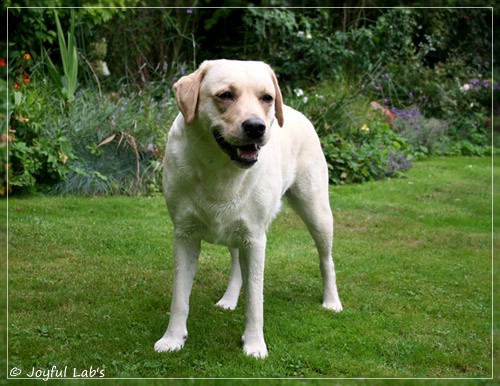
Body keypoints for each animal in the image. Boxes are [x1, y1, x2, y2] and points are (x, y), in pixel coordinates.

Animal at [155, 60, 344, 358]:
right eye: (225, 95)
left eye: (266, 98)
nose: (256, 127)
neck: (220, 170)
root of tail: (297, 112)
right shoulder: (184, 235)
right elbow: (179, 297)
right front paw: (173, 338)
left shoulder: (255, 239)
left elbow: (255, 299)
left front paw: (254, 344)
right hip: (236, 229)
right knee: (236, 264)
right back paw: (229, 299)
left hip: (317, 213)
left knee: (327, 260)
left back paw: (332, 301)